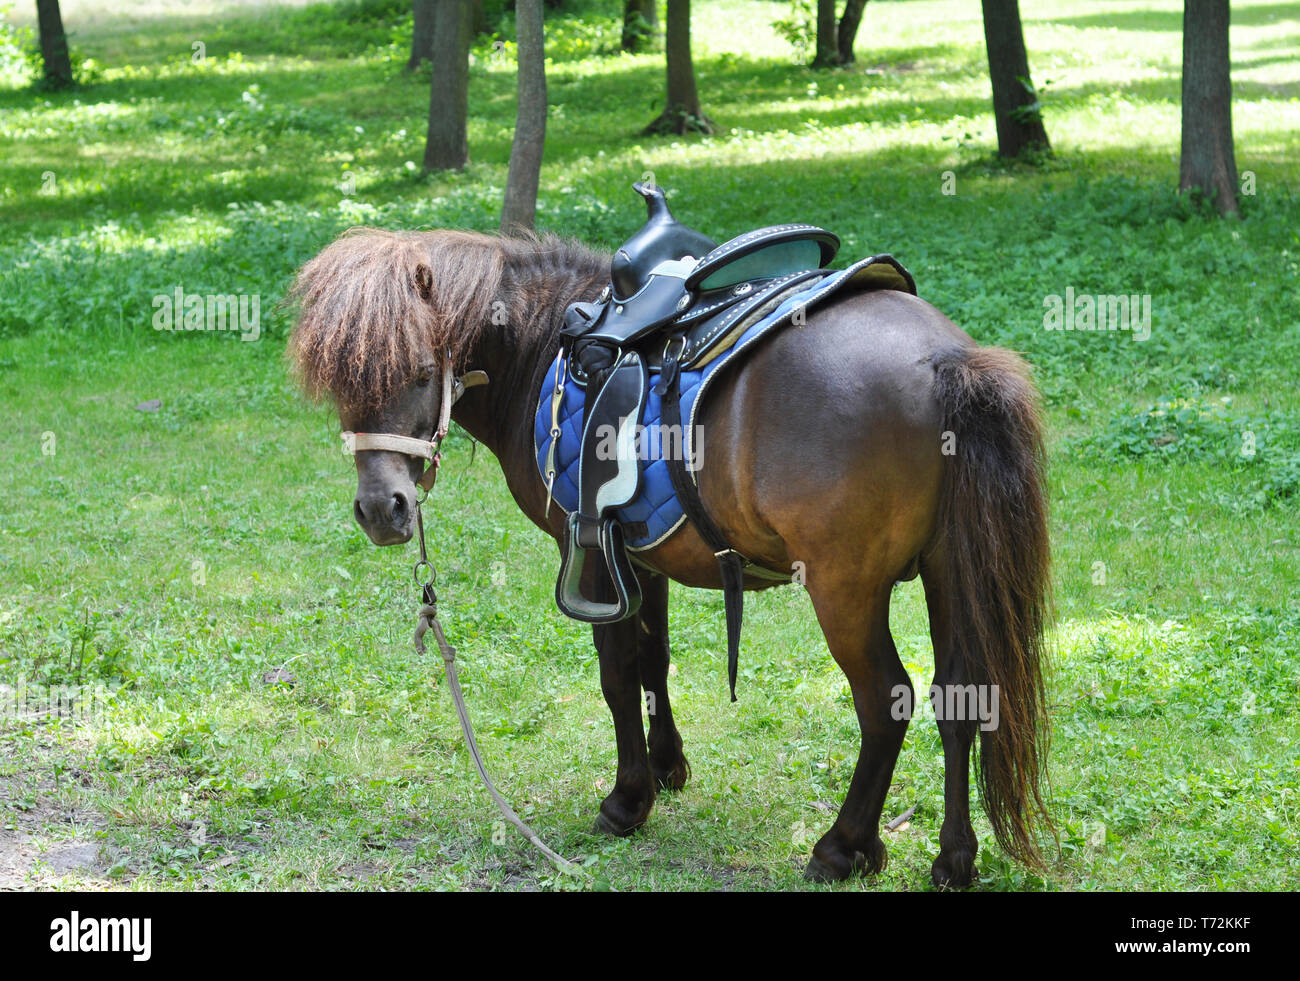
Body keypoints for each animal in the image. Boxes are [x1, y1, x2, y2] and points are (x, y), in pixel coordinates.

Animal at [287, 228, 1055, 888]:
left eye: (420, 371)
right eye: (341, 384)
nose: (382, 509)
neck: (543, 345)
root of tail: (945, 360)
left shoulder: (589, 553)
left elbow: (617, 675)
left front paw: (627, 800)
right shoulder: (642, 555)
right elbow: (654, 661)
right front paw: (666, 766)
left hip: (846, 590)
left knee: (885, 701)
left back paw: (844, 846)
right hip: (950, 572)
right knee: (960, 697)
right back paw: (953, 858)